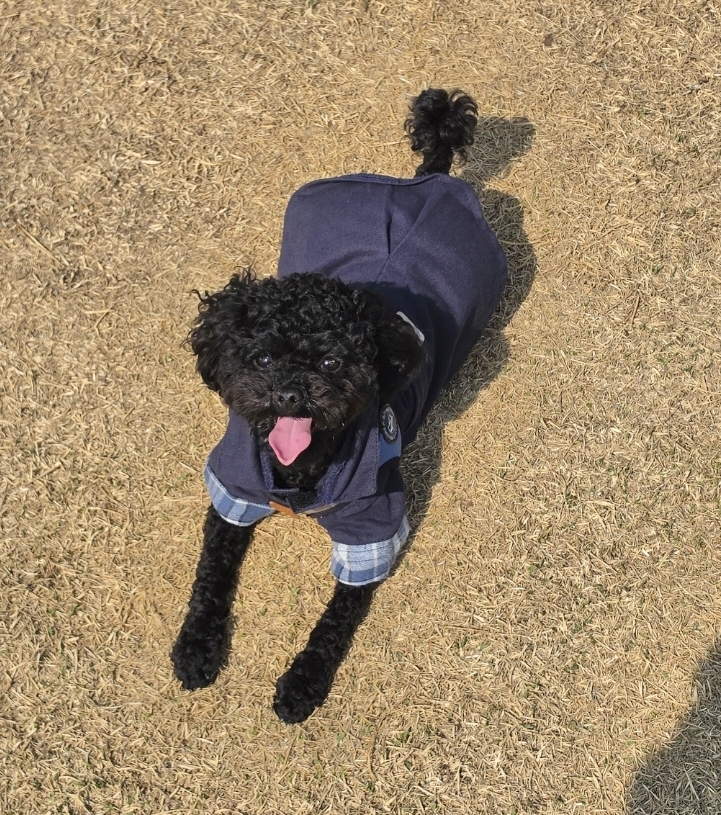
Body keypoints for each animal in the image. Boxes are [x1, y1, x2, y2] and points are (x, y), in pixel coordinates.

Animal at [171, 89, 508, 723]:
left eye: (331, 363)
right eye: (262, 358)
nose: (291, 393)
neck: (300, 471)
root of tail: (424, 182)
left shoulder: (373, 522)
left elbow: (336, 619)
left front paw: (302, 683)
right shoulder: (233, 486)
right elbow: (211, 571)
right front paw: (197, 647)